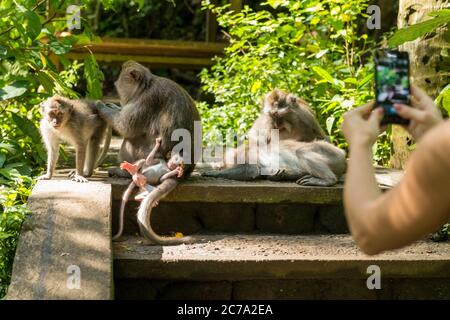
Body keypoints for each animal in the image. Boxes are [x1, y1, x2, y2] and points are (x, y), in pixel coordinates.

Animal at [96, 60, 200, 245]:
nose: (115, 91)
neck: (146, 86)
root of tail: (184, 172)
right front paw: (112, 106)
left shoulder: (145, 101)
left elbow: (125, 126)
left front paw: (101, 106)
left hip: (141, 154)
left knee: (131, 139)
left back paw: (124, 172)